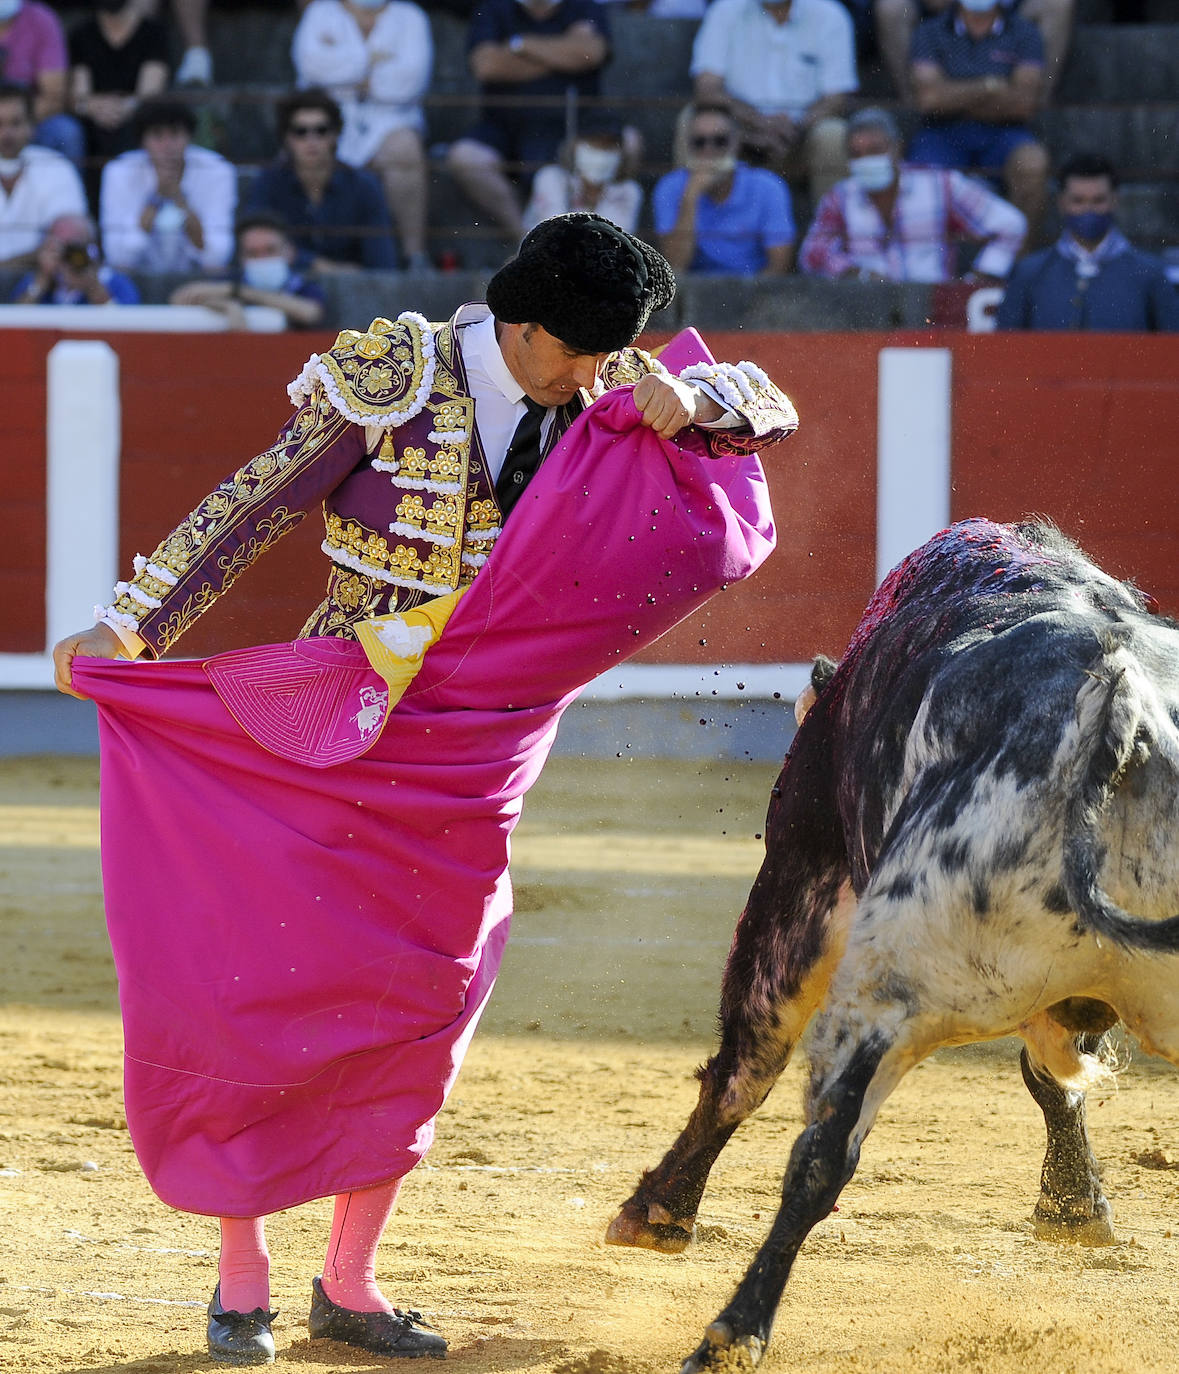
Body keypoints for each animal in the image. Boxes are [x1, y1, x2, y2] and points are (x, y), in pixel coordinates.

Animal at [607, 519, 1176, 1368]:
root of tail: (1120, 708)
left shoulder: (805, 872)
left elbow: (745, 1073)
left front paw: (659, 1213)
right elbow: (1054, 1076)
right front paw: (1075, 1206)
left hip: (879, 973)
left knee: (802, 1135)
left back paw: (726, 1332)